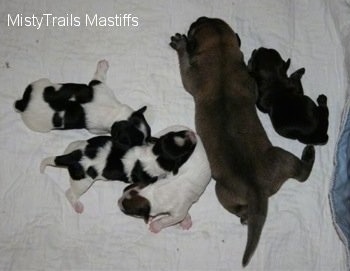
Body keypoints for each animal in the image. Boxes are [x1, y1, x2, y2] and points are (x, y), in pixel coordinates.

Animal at [14, 60, 146, 135]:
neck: (115, 112)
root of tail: (23, 103)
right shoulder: (95, 129)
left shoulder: (100, 86)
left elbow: (98, 76)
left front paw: (102, 65)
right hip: (38, 126)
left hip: (40, 82)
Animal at [171, 17, 316, 268]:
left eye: (196, 27)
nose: (199, 18)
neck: (220, 54)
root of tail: (257, 190)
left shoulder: (192, 76)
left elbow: (185, 67)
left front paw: (181, 45)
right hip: (282, 157)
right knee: (301, 173)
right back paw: (308, 156)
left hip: (220, 190)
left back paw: (244, 217)